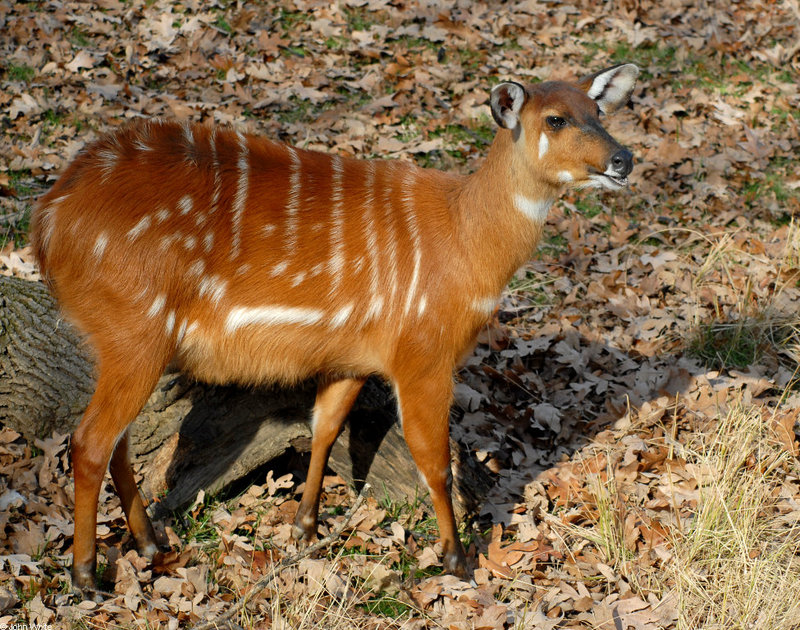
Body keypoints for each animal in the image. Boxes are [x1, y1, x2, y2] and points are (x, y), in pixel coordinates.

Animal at [31, 63, 640, 596]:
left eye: (599, 109)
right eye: (555, 119)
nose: (624, 157)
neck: (464, 244)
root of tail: (47, 222)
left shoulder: (352, 358)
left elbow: (324, 427)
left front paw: (305, 526)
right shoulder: (423, 355)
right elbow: (435, 462)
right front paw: (458, 560)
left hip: (127, 343)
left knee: (116, 443)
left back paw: (151, 544)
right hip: (135, 332)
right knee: (89, 441)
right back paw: (86, 575)